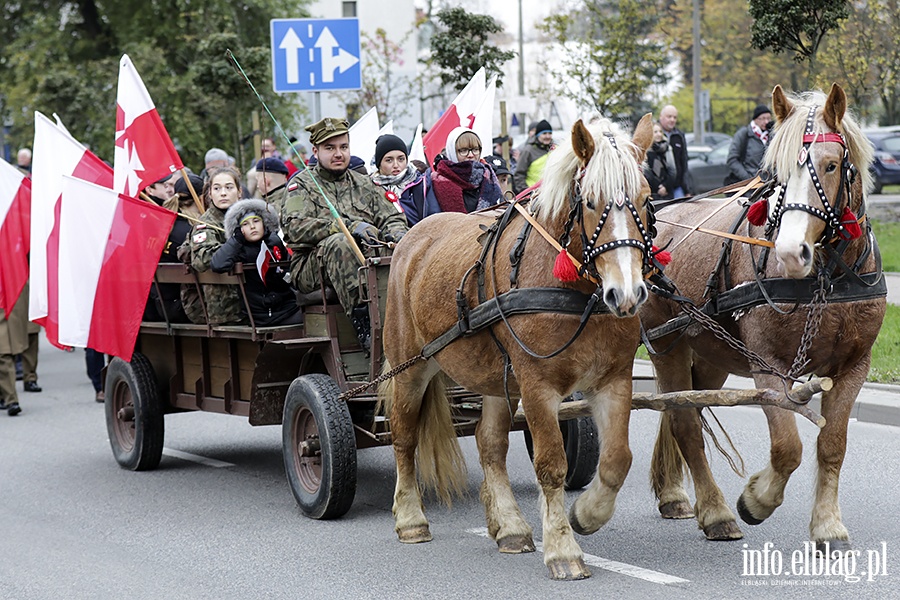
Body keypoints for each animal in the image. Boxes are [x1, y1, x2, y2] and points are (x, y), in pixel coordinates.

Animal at [380, 115, 652, 580]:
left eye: (646, 197)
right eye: (591, 201)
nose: (627, 293)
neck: (577, 294)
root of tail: (411, 239)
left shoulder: (614, 380)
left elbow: (617, 459)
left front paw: (586, 514)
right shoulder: (538, 385)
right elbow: (551, 464)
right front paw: (562, 548)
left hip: (497, 378)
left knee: (490, 444)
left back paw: (509, 527)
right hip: (410, 367)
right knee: (404, 435)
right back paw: (411, 519)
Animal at [640, 83, 884, 548]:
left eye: (830, 165)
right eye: (778, 175)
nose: (790, 253)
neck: (826, 279)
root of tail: (658, 213)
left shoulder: (854, 367)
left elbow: (832, 445)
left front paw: (828, 525)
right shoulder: (768, 366)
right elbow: (787, 447)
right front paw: (757, 499)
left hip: (711, 354)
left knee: (688, 407)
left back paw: (676, 494)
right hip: (665, 344)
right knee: (684, 423)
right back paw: (715, 512)